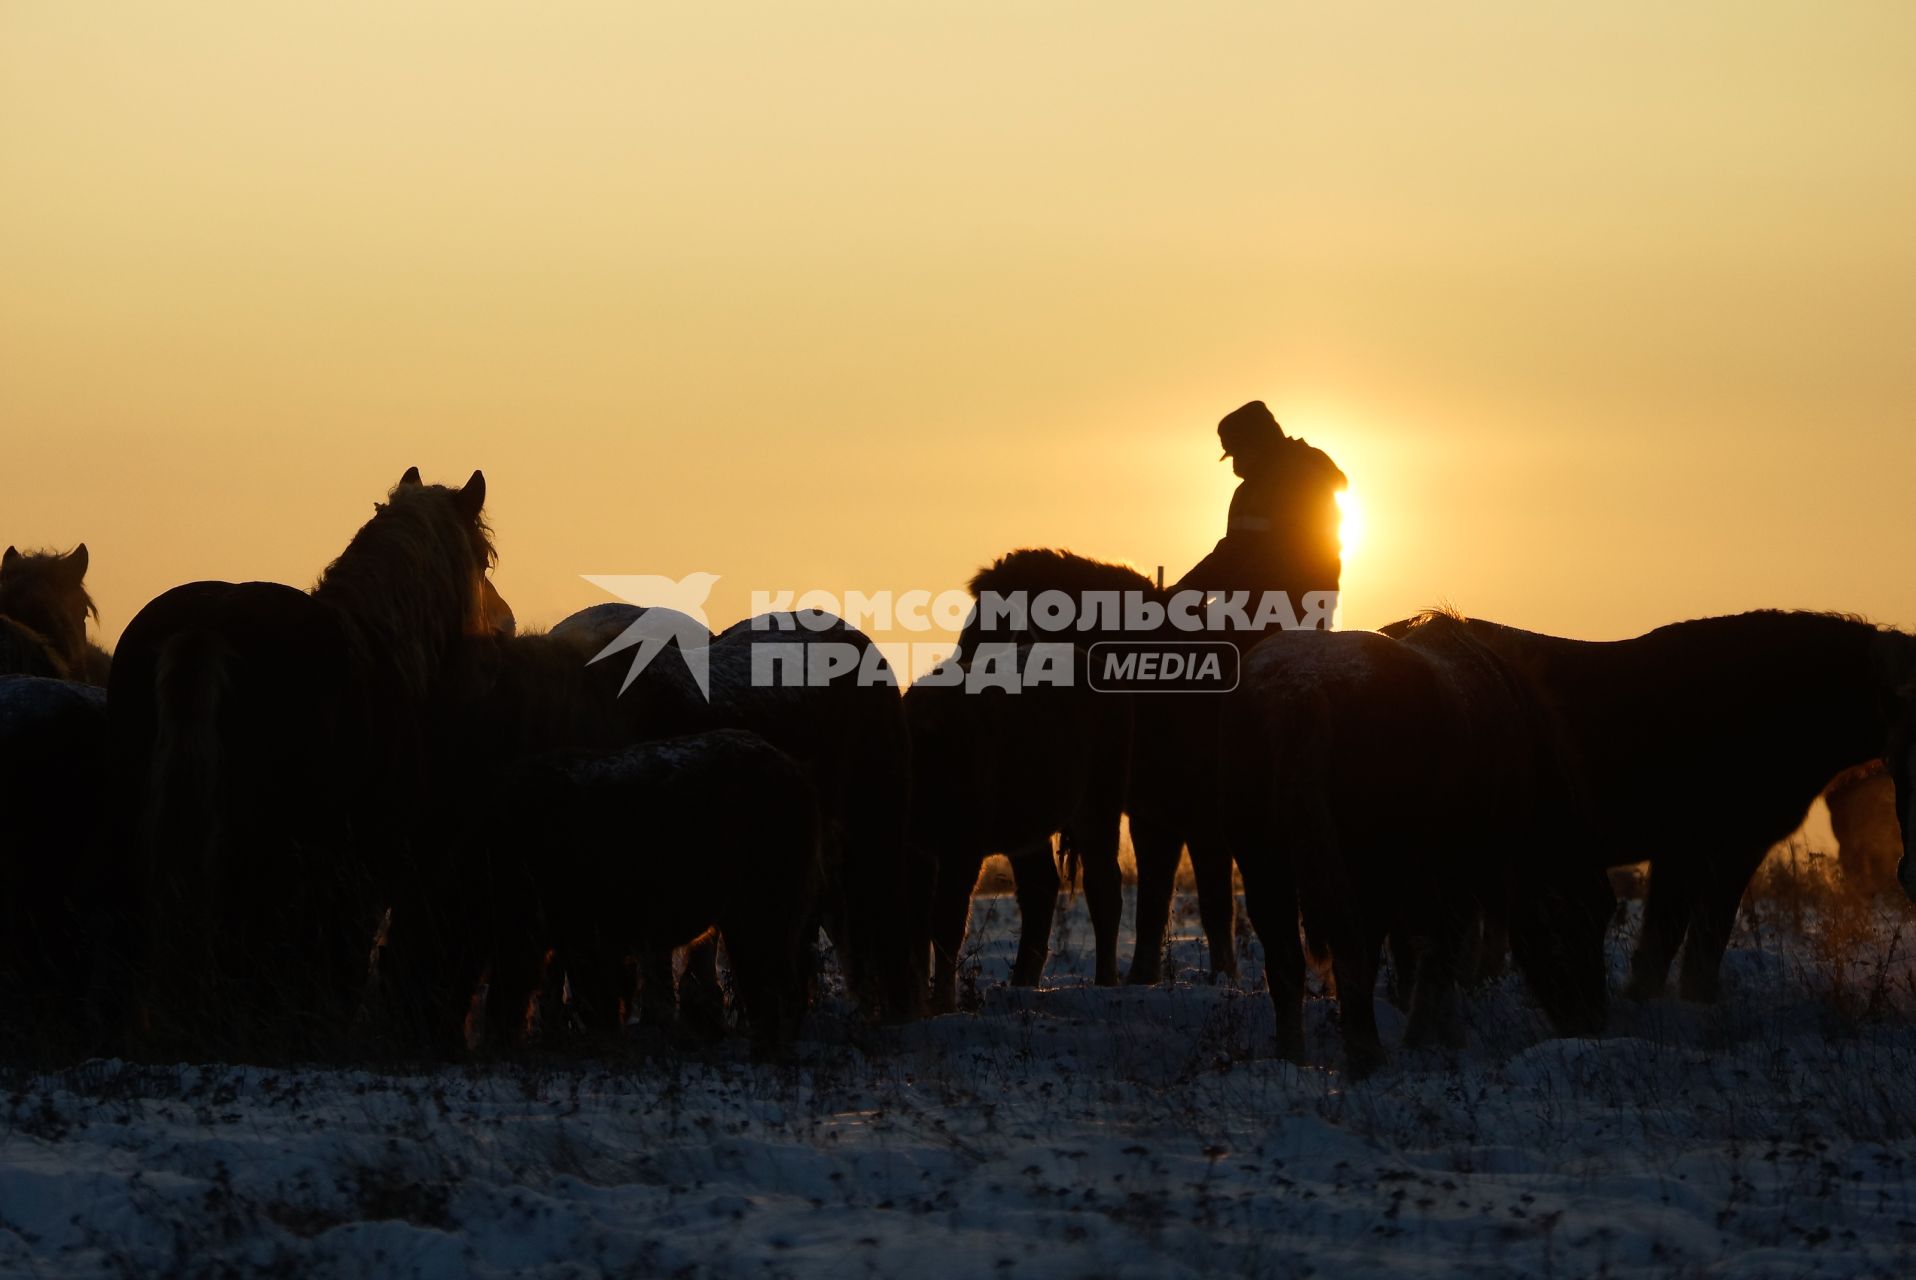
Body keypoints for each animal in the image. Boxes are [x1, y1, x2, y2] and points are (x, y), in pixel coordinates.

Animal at [900, 643, 1126, 1004]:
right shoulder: (916, 849)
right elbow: (916, 925)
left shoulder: (962, 848)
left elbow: (947, 922)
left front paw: (942, 1003)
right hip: (1029, 827)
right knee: (1040, 888)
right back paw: (1022, 983)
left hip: (1099, 802)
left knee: (1103, 885)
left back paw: (1105, 981)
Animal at [1218, 613, 1609, 1073]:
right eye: (1581, 915)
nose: (1593, 1021)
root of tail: (1302, 688)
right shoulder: (1459, 871)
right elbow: (1443, 950)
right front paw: (1434, 1038)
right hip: (1368, 870)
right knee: (1355, 954)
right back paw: (1367, 1058)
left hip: (1264, 864)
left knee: (1285, 961)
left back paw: (1292, 1059)